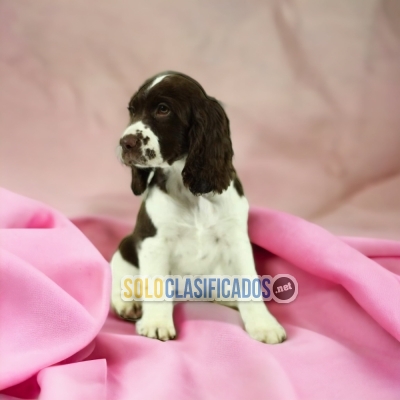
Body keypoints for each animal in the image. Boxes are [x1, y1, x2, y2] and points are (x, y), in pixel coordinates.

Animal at [110, 72, 284, 344]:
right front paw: (156, 323)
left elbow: (249, 281)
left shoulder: (236, 239)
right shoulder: (153, 241)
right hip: (126, 246)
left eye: (163, 109)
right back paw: (128, 304)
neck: (191, 193)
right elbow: (155, 283)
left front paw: (264, 325)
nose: (124, 143)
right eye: (132, 110)